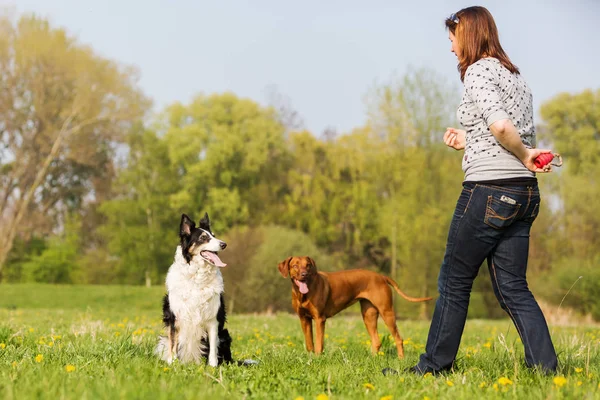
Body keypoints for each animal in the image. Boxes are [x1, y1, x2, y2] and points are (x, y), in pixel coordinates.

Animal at [276, 258, 432, 358]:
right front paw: (310, 357)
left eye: (308, 265)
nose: (304, 274)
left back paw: (400, 359)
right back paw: (373, 359)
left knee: (398, 338)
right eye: (295, 266)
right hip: (368, 315)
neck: (303, 294)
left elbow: (319, 342)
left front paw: (318, 358)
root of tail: (381, 276)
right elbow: (309, 342)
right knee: (376, 340)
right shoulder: (304, 319)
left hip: (387, 312)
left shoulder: (320, 319)